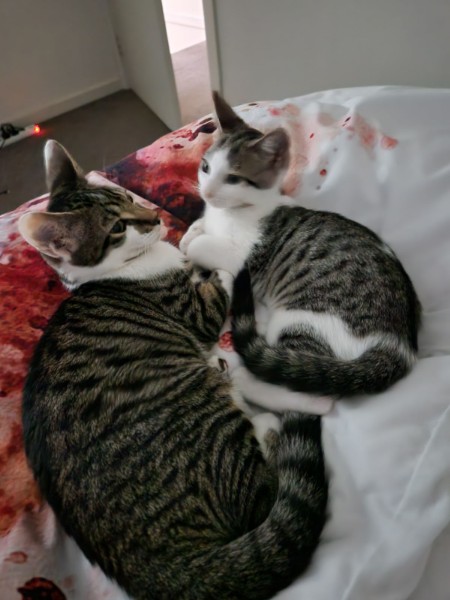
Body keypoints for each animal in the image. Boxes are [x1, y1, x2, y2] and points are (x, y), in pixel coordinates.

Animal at [18, 140, 328, 600]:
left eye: (126, 197)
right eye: (116, 228)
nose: (155, 219)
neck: (116, 272)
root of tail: (160, 573)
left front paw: (193, 236)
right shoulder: (196, 309)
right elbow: (219, 278)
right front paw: (207, 250)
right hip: (211, 420)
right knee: (264, 491)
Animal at [180, 92, 421, 415]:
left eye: (233, 178)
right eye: (205, 167)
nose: (206, 193)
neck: (234, 212)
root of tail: (399, 345)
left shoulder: (246, 256)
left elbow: (203, 246)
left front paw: (193, 242)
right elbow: (197, 229)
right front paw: (191, 232)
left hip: (304, 320)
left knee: (318, 396)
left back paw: (246, 381)